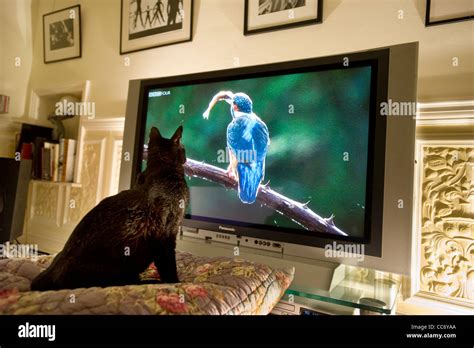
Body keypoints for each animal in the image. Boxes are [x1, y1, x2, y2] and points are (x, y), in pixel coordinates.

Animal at [30, 125, 191, 290]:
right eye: (184, 149)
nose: (186, 157)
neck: (161, 170)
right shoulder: (166, 236)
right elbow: (169, 267)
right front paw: (177, 283)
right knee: (126, 282)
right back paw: (150, 281)